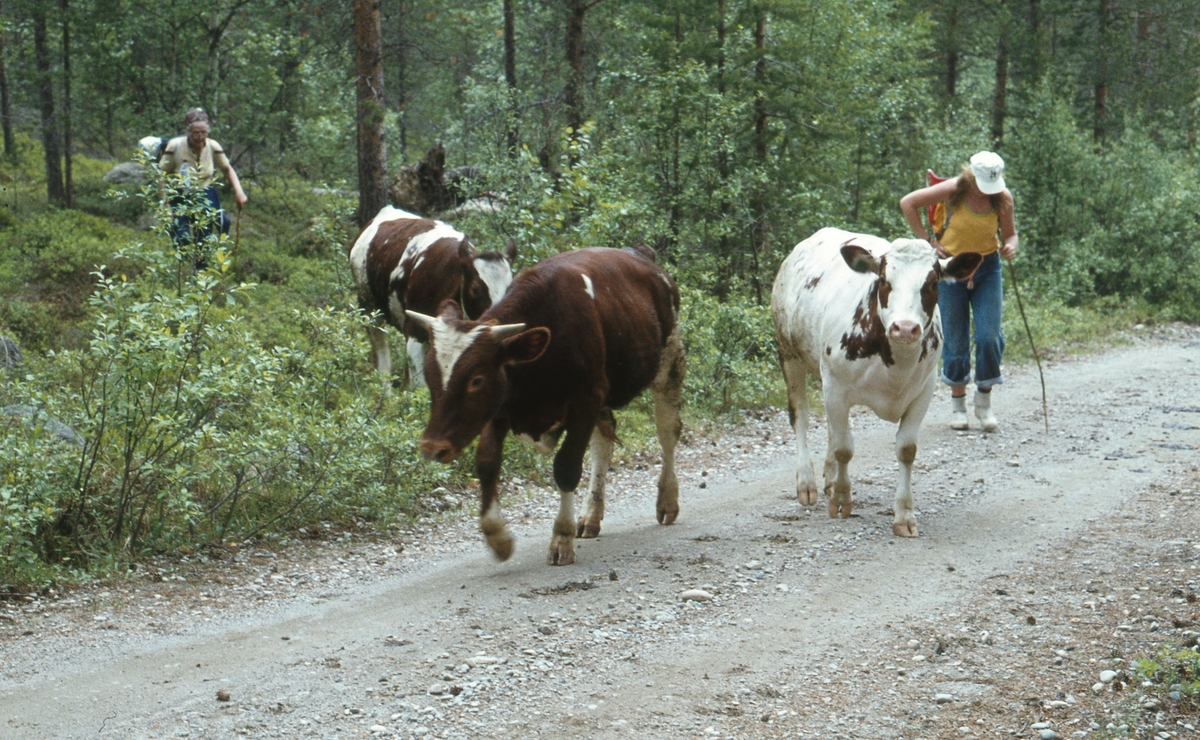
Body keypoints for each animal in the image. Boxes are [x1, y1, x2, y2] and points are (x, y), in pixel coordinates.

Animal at [403, 245, 686, 563]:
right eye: (429, 375)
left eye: (476, 380)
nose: (432, 447)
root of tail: (643, 256)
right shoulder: (500, 406)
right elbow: (487, 463)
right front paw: (497, 536)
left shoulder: (587, 397)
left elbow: (566, 467)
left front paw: (561, 538)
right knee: (603, 442)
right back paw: (591, 515)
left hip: (670, 364)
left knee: (667, 431)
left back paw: (667, 500)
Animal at [772, 227, 979, 534]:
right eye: (883, 280)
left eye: (932, 283)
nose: (904, 328)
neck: (897, 364)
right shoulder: (835, 386)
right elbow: (845, 448)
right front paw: (842, 500)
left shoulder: (923, 392)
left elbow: (905, 450)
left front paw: (904, 515)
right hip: (788, 353)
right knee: (801, 416)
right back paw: (807, 483)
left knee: (832, 429)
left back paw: (830, 478)